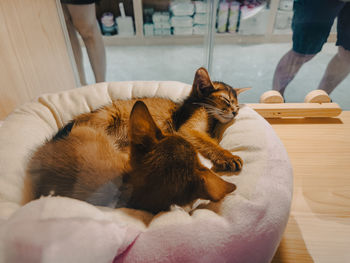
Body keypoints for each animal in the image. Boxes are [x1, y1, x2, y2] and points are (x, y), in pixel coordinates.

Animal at [26, 67, 247, 214]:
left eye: (236, 104)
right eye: (226, 101)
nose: (236, 111)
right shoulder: (187, 129)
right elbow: (209, 142)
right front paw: (228, 157)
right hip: (104, 119)